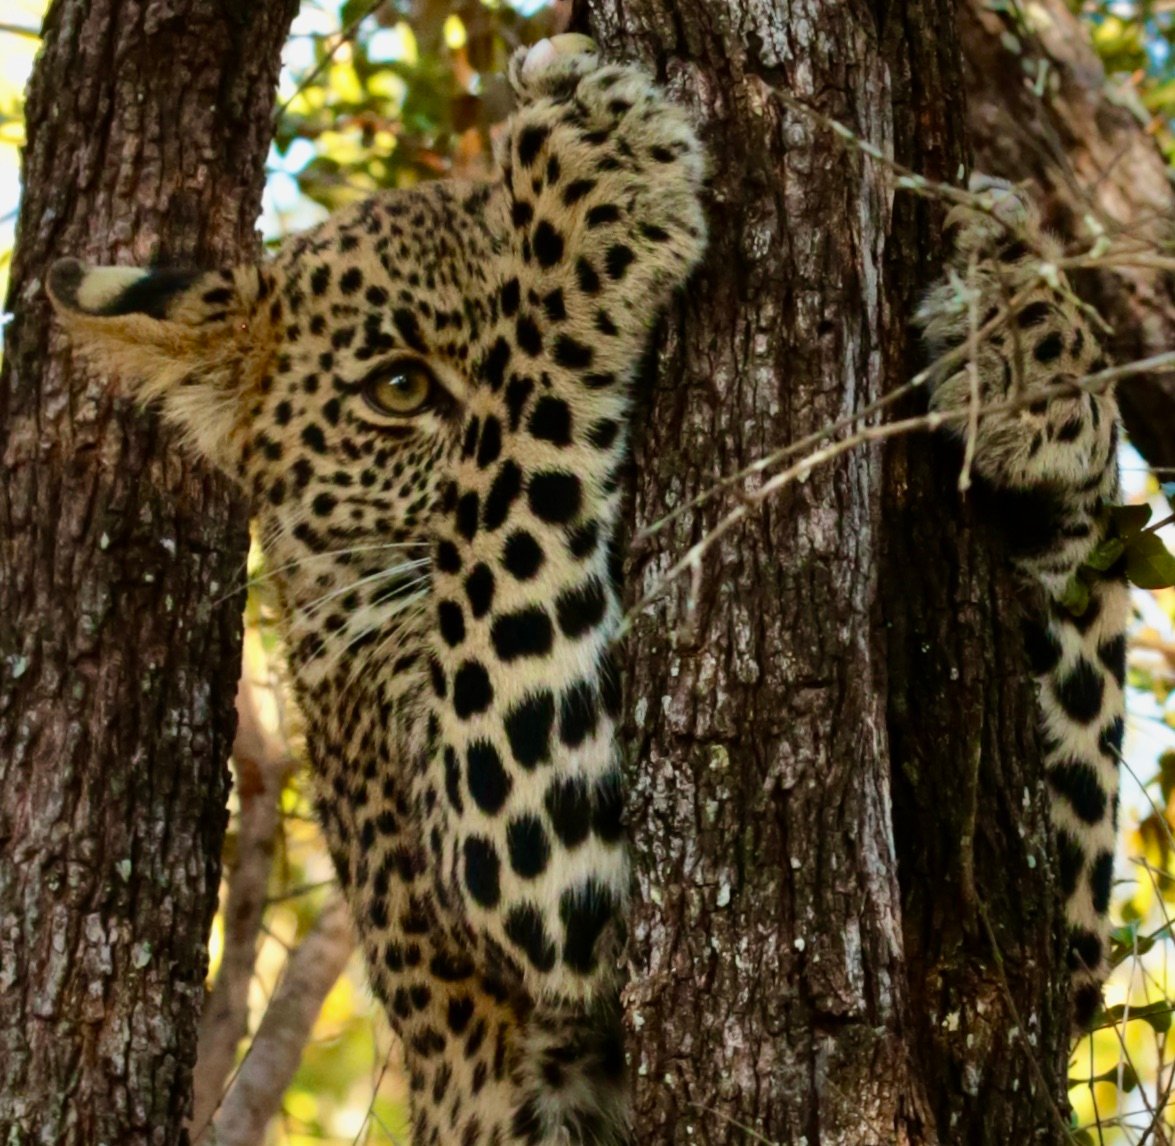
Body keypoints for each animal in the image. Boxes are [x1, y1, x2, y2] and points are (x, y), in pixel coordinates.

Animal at [45, 31, 1126, 1144]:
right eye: (399, 388)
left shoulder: (1061, 930)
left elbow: (1064, 883)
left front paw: (1027, 329)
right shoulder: (527, 859)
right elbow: (515, 456)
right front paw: (590, 177)